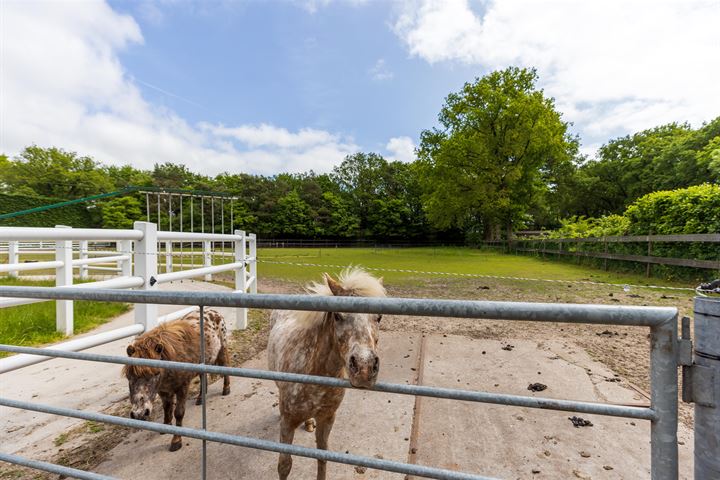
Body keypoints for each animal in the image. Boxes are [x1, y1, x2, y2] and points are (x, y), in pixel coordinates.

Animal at [123, 310, 231, 452]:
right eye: (128, 376)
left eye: (156, 373)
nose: (138, 414)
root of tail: (214, 312)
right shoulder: (163, 390)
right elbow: (167, 408)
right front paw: (166, 426)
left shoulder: (182, 387)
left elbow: (178, 413)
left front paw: (176, 441)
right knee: (203, 377)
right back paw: (200, 398)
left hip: (222, 349)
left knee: (226, 366)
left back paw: (226, 389)